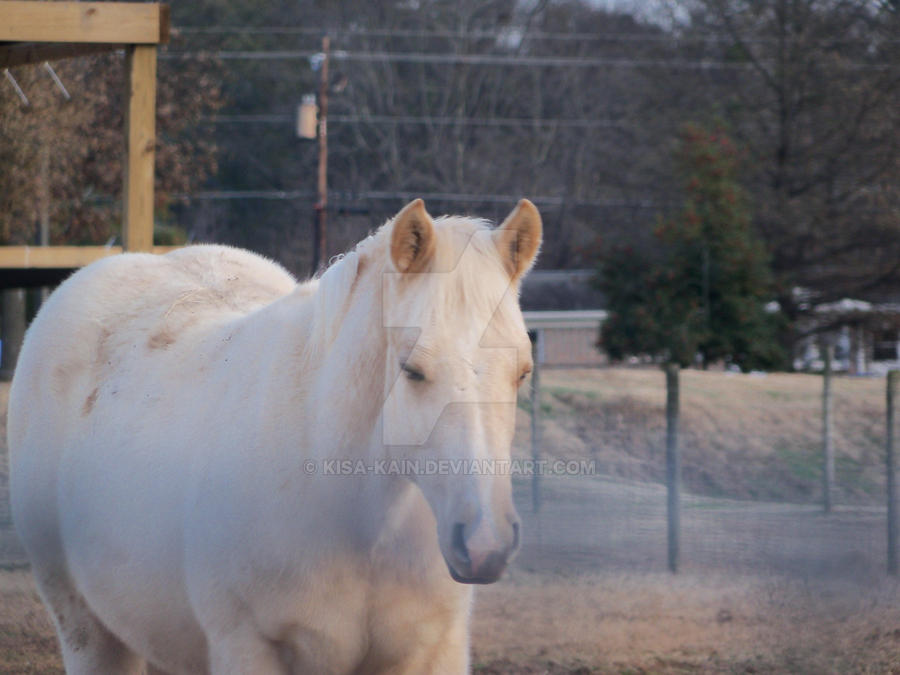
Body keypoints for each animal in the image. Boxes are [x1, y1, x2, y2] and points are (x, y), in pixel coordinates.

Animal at [8, 201, 540, 675]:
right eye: (413, 370)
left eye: (522, 372)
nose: (485, 542)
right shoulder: (249, 649)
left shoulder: (431, 653)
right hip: (86, 630)